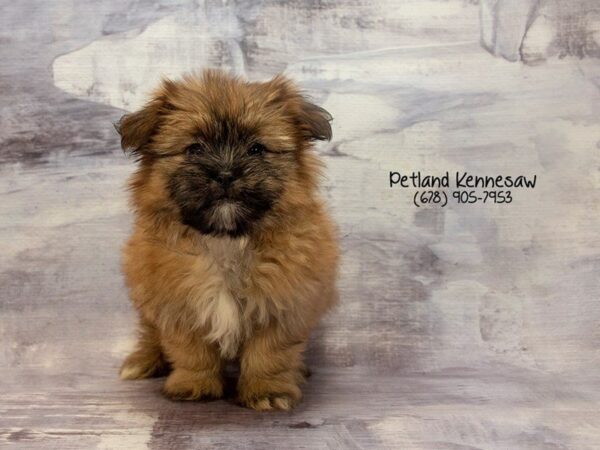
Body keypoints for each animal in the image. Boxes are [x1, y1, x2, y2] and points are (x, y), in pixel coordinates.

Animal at [116, 68, 340, 410]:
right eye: (194, 149)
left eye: (256, 149)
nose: (225, 173)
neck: (227, 241)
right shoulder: (177, 304)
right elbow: (191, 351)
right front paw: (194, 384)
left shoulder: (284, 303)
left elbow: (269, 353)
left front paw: (267, 390)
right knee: (151, 334)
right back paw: (144, 359)